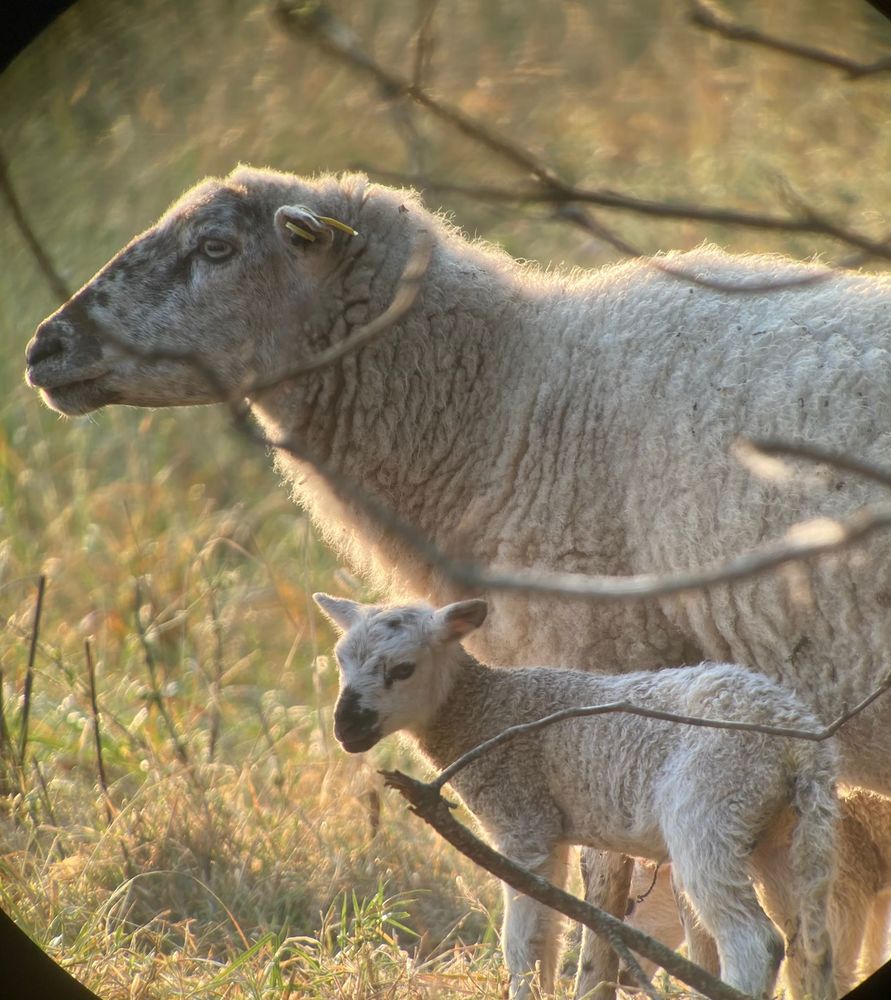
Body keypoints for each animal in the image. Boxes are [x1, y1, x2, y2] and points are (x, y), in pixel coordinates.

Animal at [313, 592, 840, 1000]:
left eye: (403, 669)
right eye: (340, 662)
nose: (345, 728)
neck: (485, 709)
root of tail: (800, 738)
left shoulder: (523, 820)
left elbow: (522, 943)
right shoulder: (551, 831)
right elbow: (547, 936)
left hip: (709, 808)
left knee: (755, 942)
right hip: (780, 831)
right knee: (808, 946)